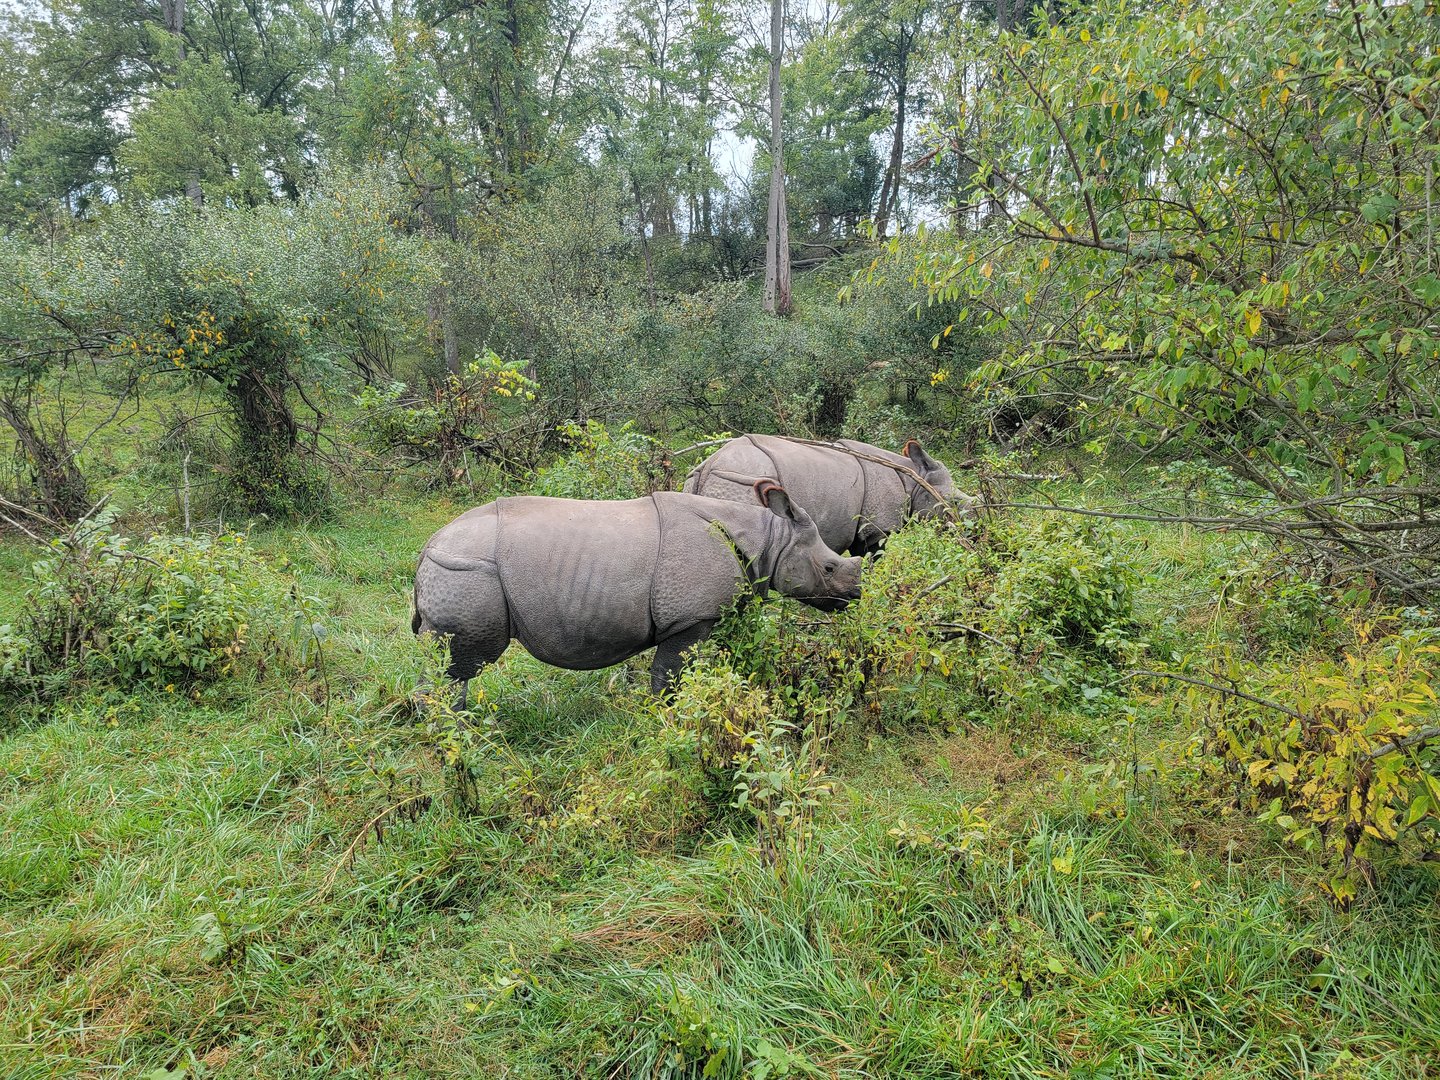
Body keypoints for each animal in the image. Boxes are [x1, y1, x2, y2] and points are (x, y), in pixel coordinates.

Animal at [412, 483, 863, 702]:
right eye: (829, 568)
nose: (855, 595)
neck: (770, 540)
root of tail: (427, 546)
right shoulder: (691, 618)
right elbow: (669, 677)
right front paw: (665, 718)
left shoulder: (714, 611)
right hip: (466, 571)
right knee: (464, 662)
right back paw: (454, 732)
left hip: (458, 570)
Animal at [683, 435, 969, 556]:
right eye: (954, 502)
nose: (969, 532)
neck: (914, 477)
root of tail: (708, 466)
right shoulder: (878, 528)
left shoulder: (861, 528)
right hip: (737, 482)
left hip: (705, 482)